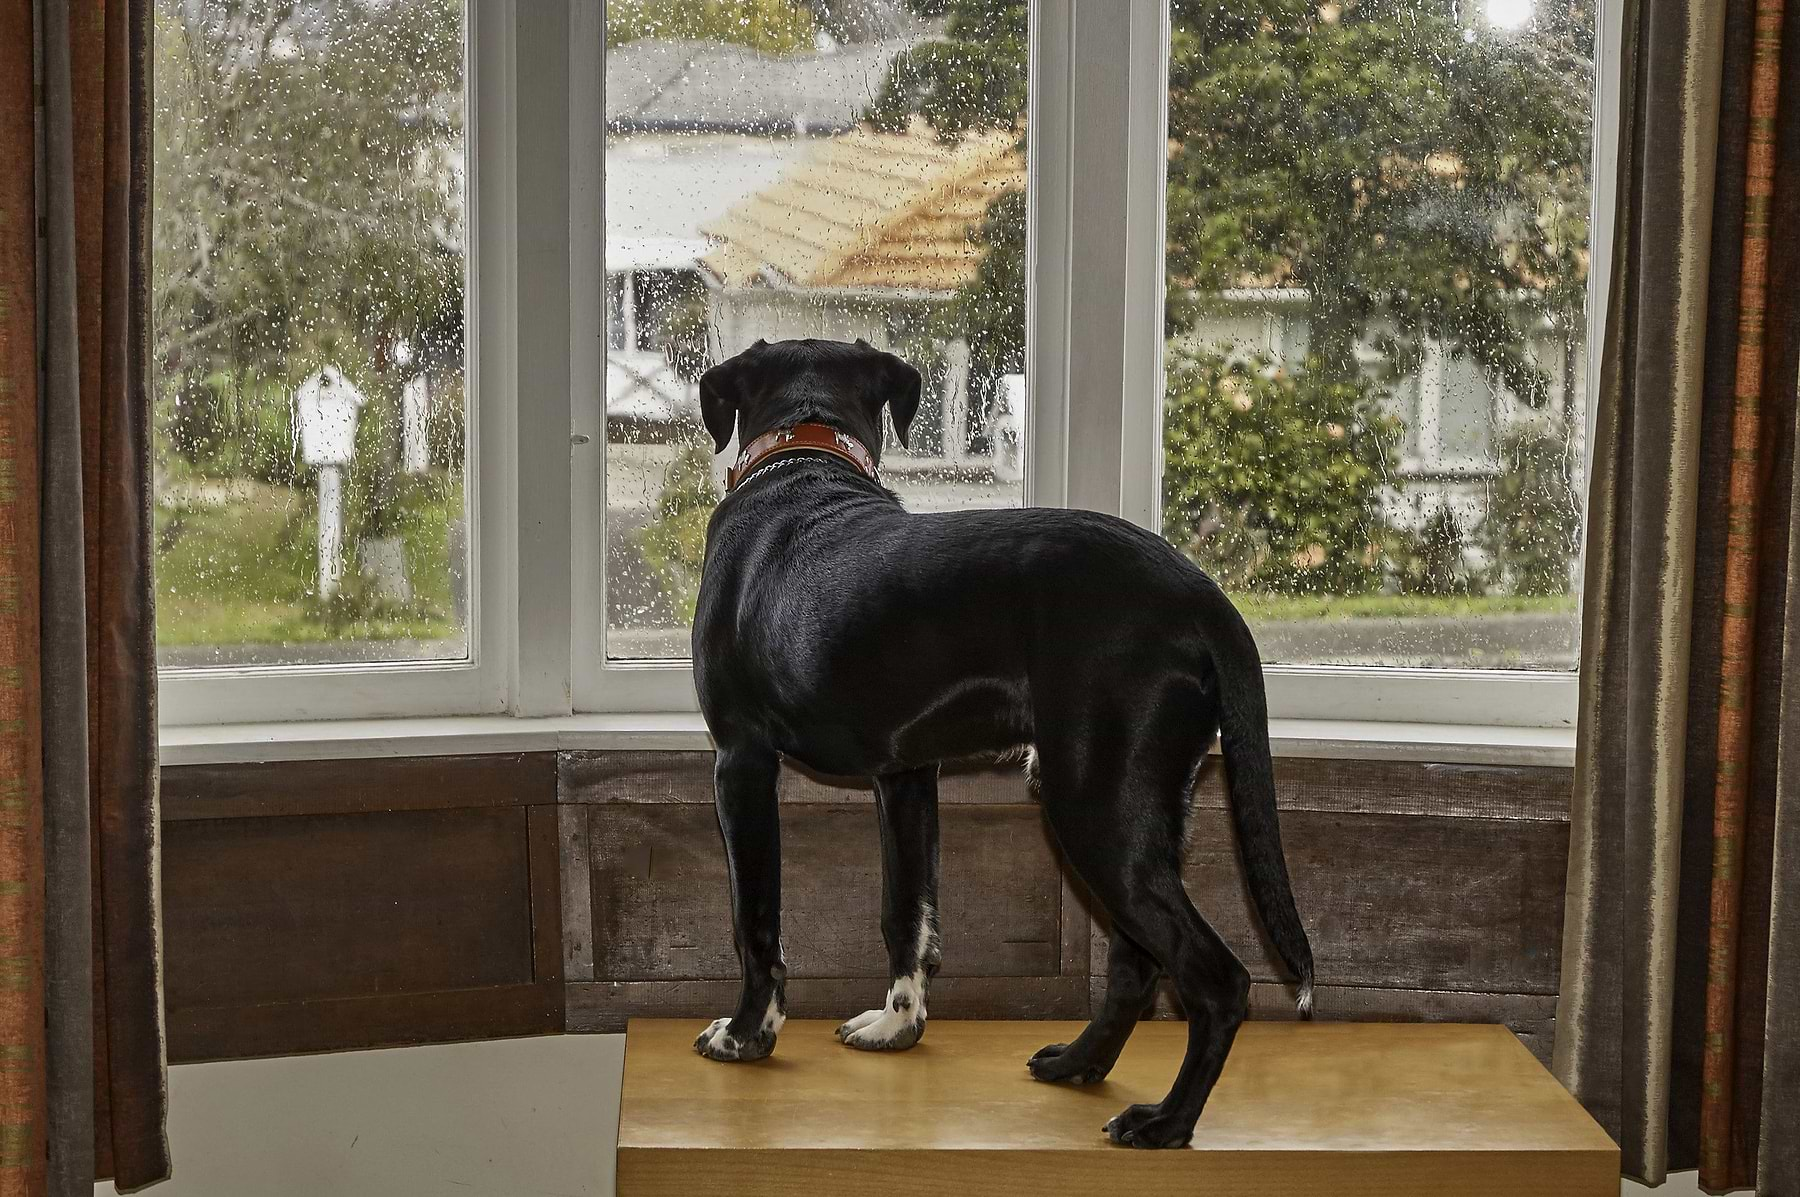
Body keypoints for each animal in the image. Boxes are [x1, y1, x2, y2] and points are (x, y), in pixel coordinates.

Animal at [687, 336, 1310, 1152]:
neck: (803, 458)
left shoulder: (742, 762)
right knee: (1137, 966)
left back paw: (1168, 1121)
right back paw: (1080, 1062)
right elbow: (908, 910)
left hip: (1094, 809)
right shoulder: (906, 776)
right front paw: (897, 1026)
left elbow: (755, 917)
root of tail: (1203, 595)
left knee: (1217, 978)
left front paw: (745, 1034)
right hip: (1138, 807)